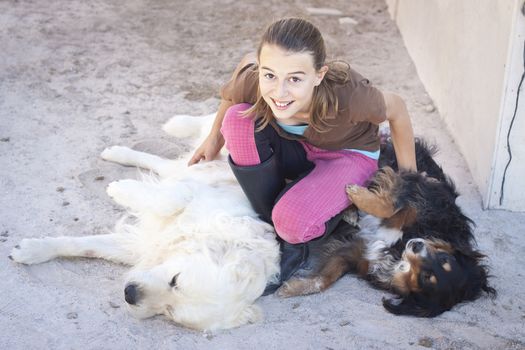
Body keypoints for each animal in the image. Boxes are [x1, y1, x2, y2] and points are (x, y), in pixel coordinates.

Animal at [10, 114, 280, 330]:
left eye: (169, 312)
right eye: (175, 280)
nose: (130, 294)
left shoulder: (143, 244)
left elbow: (86, 246)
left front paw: (31, 250)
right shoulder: (200, 196)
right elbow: (173, 198)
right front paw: (119, 189)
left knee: (164, 164)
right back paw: (172, 127)